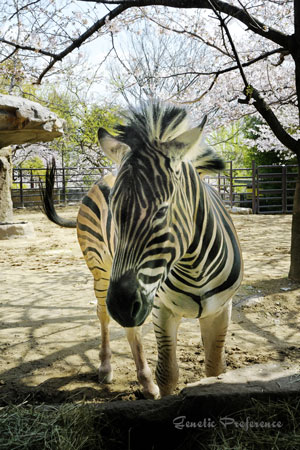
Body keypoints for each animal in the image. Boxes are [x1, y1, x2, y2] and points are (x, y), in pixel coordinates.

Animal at [42, 101, 243, 398]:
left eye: (161, 212)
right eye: (114, 212)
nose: (122, 305)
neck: (193, 266)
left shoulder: (220, 310)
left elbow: (215, 368)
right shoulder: (161, 308)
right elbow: (168, 374)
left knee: (128, 326)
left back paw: (143, 379)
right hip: (101, 270)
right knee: (104, 315)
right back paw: (113, 370)